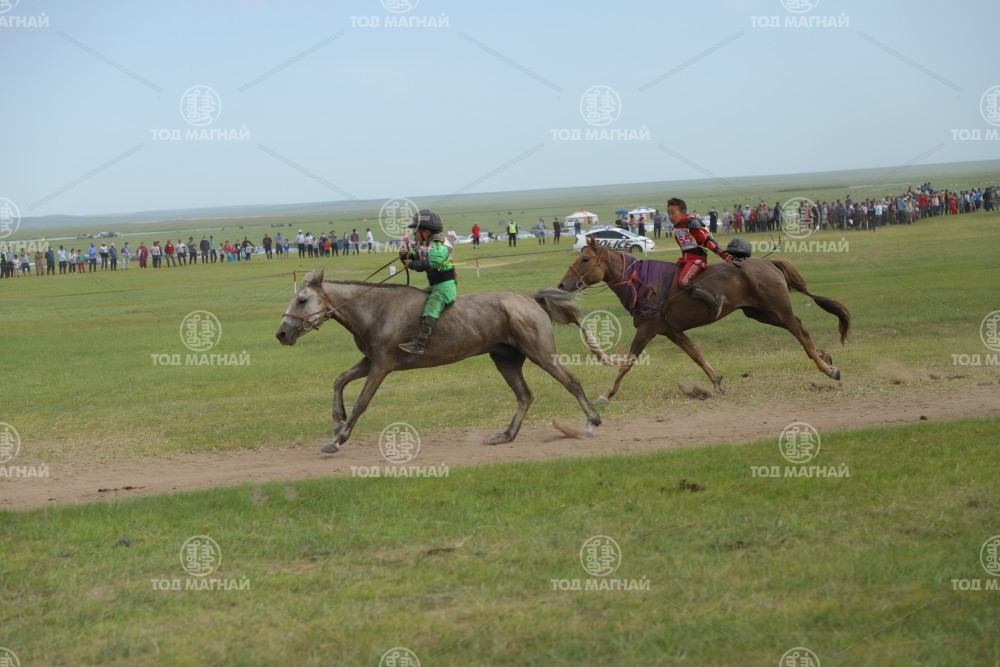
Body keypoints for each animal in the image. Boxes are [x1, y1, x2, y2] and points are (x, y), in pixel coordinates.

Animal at [275, 269, 603, 453]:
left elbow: (361, 404)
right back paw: (506, 435)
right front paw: (336, 421)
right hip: (505, 360)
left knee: (571, 382)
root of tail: (530, 302)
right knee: (525, 396)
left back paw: (591, 422)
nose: (281, 333)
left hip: (542, 354)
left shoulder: (381, 367)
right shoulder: (370, 361)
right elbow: (339, 381)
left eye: (302, 300)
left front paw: (338, 439)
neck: (375, 310)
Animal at [556, 236, 851, 402]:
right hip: (760, 313)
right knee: (800, 330)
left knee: (800, 332)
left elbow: (627, 364)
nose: (562, 285)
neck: (641, 282)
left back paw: (828, 369)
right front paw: (716, 382)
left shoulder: (647, 329)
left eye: (585, 259)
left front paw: (606, 395)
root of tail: (769, 263)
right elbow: (696, 355)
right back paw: (826, 358)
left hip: (778, 310)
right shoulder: (671, 331)